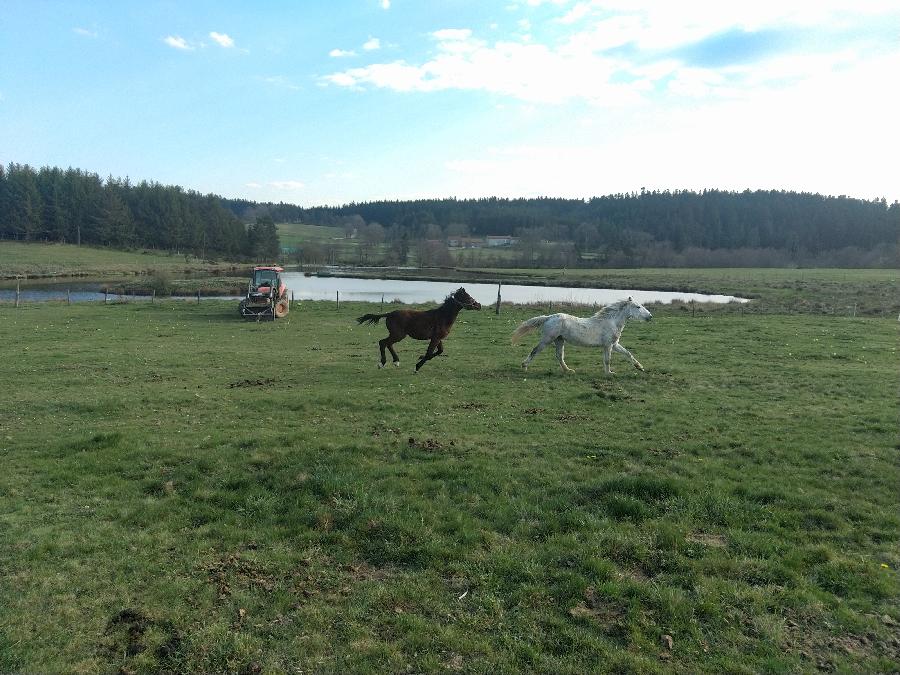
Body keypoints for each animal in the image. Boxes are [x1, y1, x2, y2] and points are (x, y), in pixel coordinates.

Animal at [358, 288, 486, 372]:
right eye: (468, 297)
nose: (479, 305)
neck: (443, 317)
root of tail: (389, 314)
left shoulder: (438, 338)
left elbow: (439, 351)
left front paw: (419, 359)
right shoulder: (435, 338)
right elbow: (429, 354)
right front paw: (417, 366)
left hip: (397, 335)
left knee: (387, 343)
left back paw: (395, 361)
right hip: (398, 335)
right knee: (383, 342)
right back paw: (382, 363)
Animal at [512, 298, 652, 374]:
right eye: (638, 307)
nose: (650, 317)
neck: (611, 321)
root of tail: (549, 317)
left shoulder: (614, 344)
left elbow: (628, 353)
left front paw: (640, 367)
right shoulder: (607, 345)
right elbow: (607, 360)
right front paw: (609, 373)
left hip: (559, 340)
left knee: (559, 356)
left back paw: (568, 370)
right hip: (547, 339)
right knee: (535, 350)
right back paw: (524, 366)